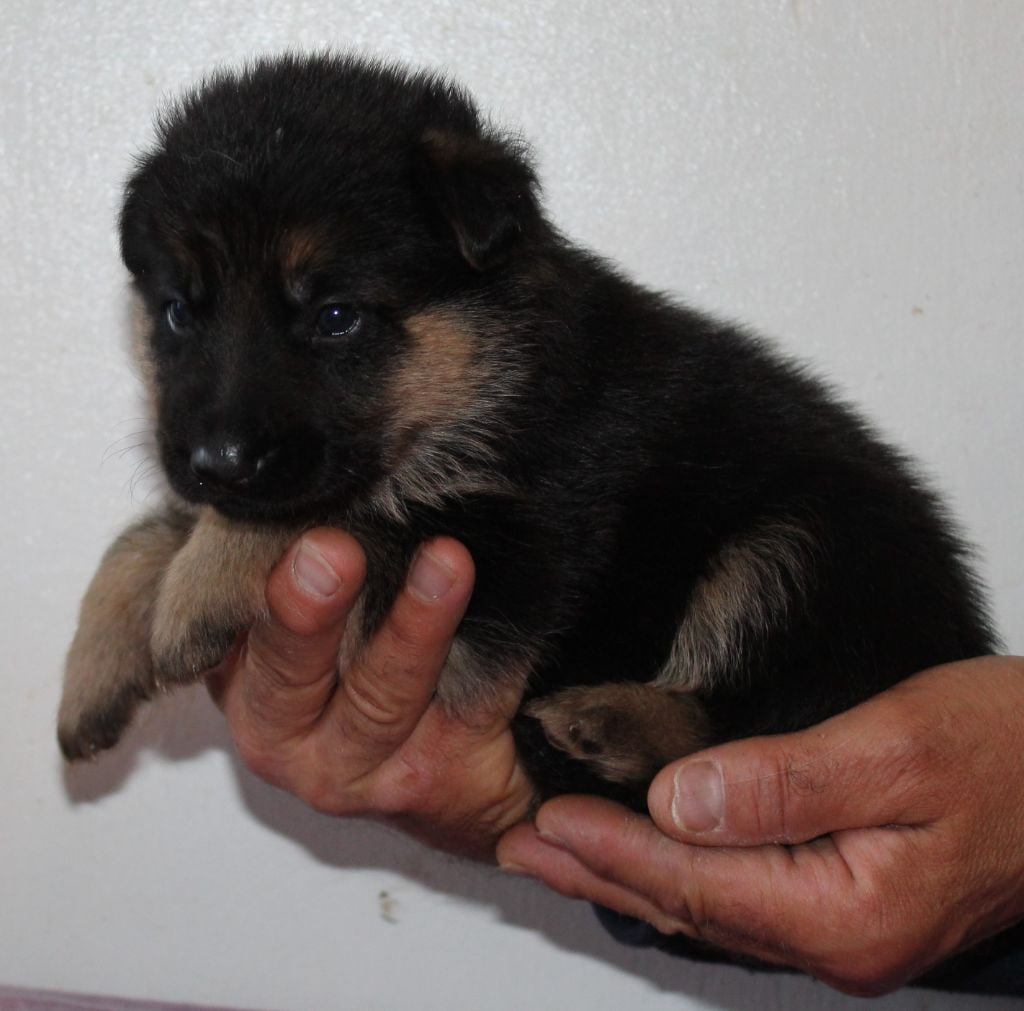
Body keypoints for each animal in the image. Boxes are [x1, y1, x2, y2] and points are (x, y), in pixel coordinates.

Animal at [58, 53, 995, 811]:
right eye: (178, 313)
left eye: (334, 316)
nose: (216, 464)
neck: (486, 378)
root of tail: (962, 640)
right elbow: (142, 533)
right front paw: (96, 663)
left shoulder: (513, 545)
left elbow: (347, 510)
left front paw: (199, 583)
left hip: (804, 542)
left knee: (754, 726)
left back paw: (611, 722)